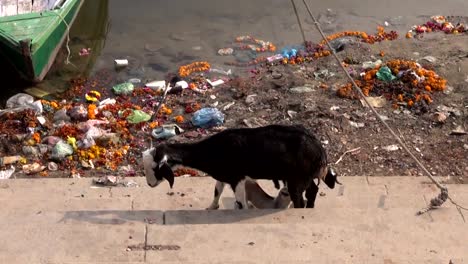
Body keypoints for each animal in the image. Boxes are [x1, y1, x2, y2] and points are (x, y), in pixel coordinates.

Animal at [143, 125, 340, 209]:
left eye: (155, 168)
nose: (149, 184)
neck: (211, 150)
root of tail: (320, 149)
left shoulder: (237, 178)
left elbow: (240, 202)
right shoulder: (223, 175)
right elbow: (217, 191)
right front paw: (212, 207)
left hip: (296, 180)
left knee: (299, 198)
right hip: (305, 175)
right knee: (313, 189)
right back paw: (311, 206)